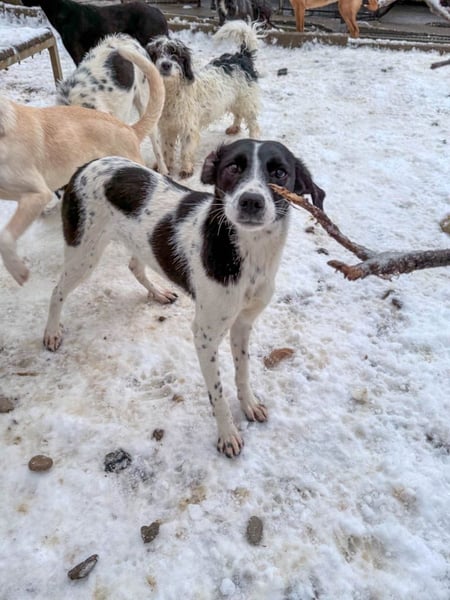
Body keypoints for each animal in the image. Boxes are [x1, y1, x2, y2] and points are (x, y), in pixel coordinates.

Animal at [42, 139, 325, 457]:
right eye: (233, 167)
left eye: (279, 172)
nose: (251, 201)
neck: (250, 254)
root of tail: (83, 167)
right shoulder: (204, 334)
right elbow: (217, 392)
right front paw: (227, 434)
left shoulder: (243, 323)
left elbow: (242, 372)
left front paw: (249, 404)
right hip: (83, 254)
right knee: (57, 291)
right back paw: (52, 332)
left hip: (136, 243)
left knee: (134, 266)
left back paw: (158, 292)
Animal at [146, 21, 261, 179]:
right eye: (156, 54)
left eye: (176, 55)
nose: (166, 65)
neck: (171, 91)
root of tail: (242, 55)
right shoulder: (167, 127)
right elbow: (166, 148)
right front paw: (166, 166)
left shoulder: (189, 127)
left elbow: (186, 150)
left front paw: (186, 169)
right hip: (234, 100)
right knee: (238, 114)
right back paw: (234, 128)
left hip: (246, 101)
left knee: (253, 123)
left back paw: (254, 137)